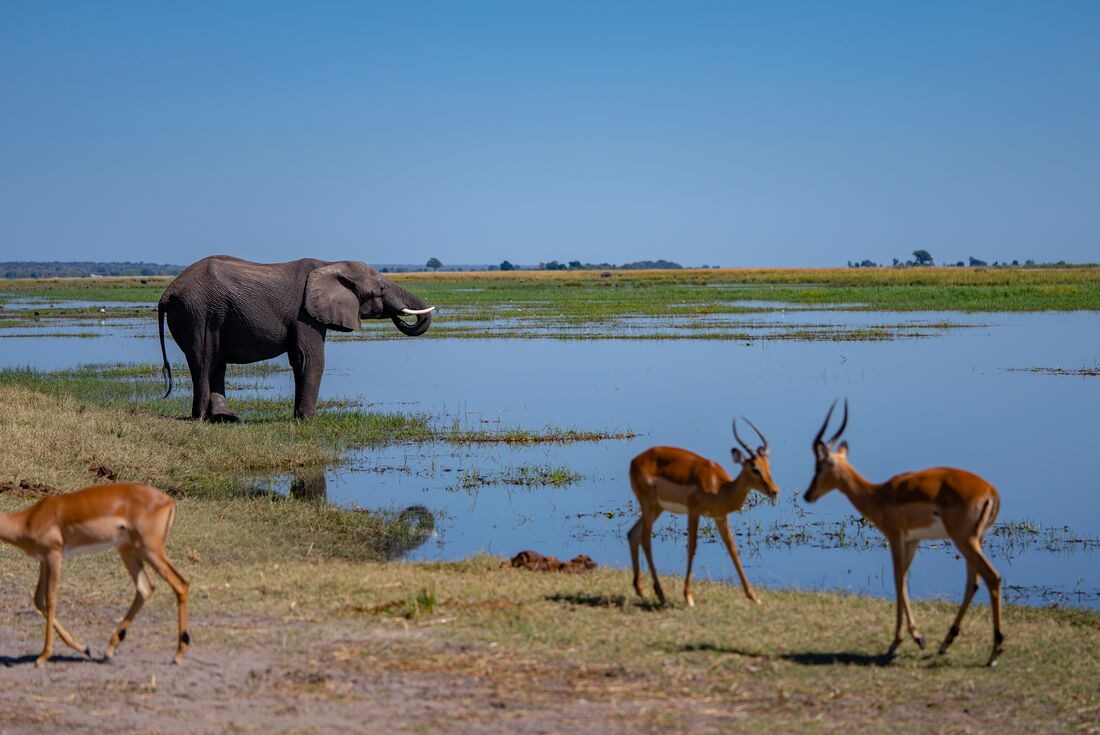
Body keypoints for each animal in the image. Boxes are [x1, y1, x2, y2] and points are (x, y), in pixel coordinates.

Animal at [157, 255, 434, 420]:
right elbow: (310, 358)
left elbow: (300, 358)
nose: (400, 315)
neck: (329, 263)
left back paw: (226, 419)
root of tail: (167, 293)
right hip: (198, 314)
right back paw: (200, 418)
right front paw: (308, 420)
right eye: (382, 289)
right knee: (204, 361)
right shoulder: (305, 313)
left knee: (216, 364)